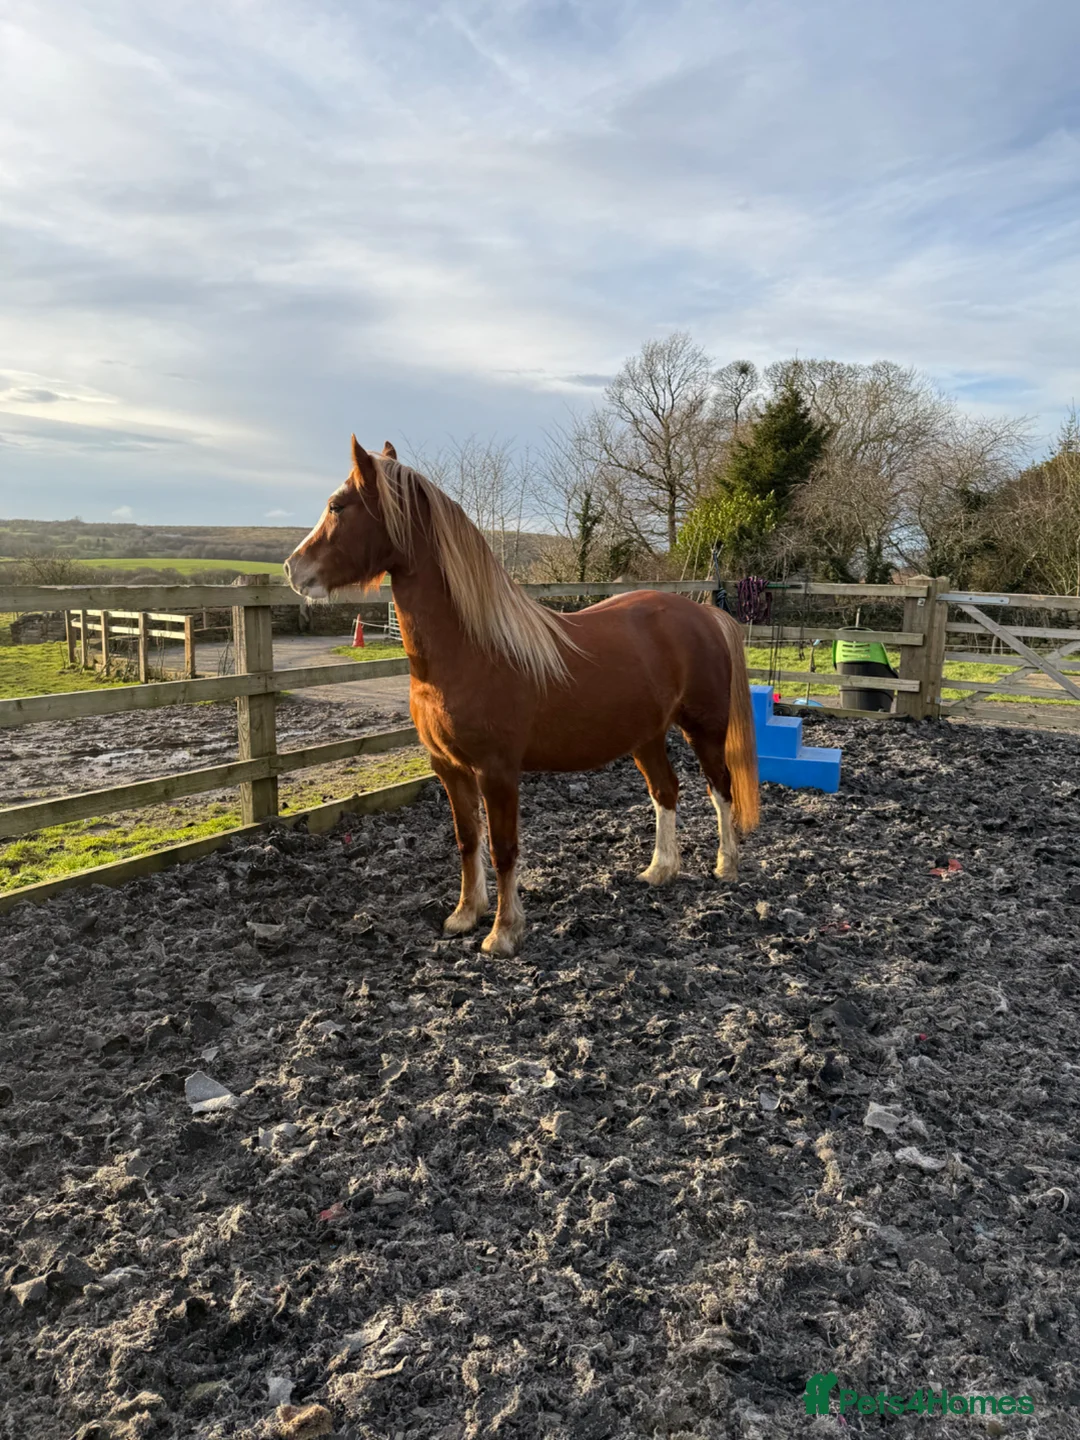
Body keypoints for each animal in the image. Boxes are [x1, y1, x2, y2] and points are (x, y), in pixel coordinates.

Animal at [285, 437, 759, 957]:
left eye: (337, 506)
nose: (292, 569)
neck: (470, 649)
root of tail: (705, 613)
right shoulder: (448, 768)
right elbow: (467, 840)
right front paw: (464, 915)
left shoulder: (497, 772)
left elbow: (503, 848)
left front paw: (504, 932)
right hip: (646, 736)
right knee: (666, 791)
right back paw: (660, 870)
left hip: (705, 730)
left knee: (720, 788)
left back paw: (726, 865)